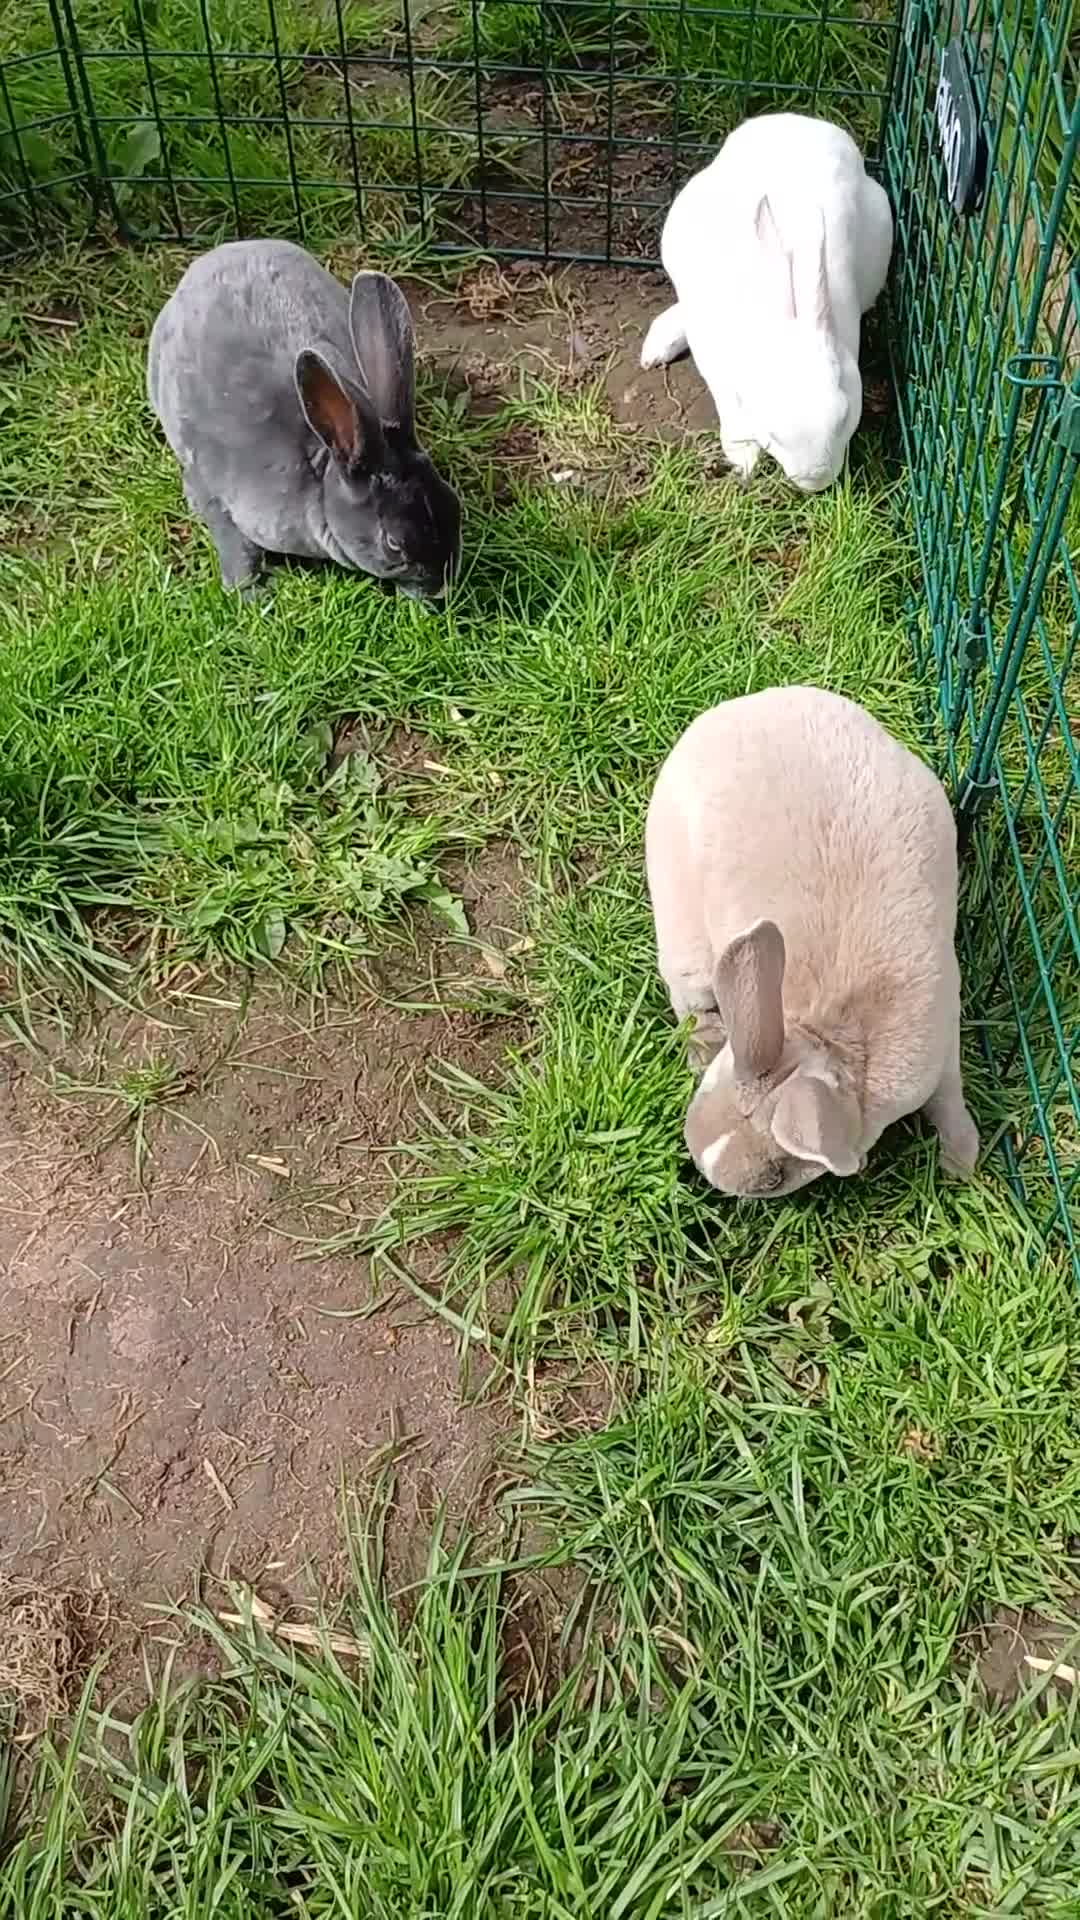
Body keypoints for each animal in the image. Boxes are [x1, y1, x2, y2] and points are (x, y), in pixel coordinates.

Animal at [147, 239, 461, 601]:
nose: (442, 589)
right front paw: (252, 595)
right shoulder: (211, 495)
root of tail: (216, 254)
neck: (321, 471)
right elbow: (236, 547)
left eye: (454, 503)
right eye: (393, 543)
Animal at [646, 686, 979, 1198]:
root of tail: (744, 705)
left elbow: (949, 1099)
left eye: (773, 1178)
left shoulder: (943, 1045)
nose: (706, 1178)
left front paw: (960, 1164)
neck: (830, 1037)